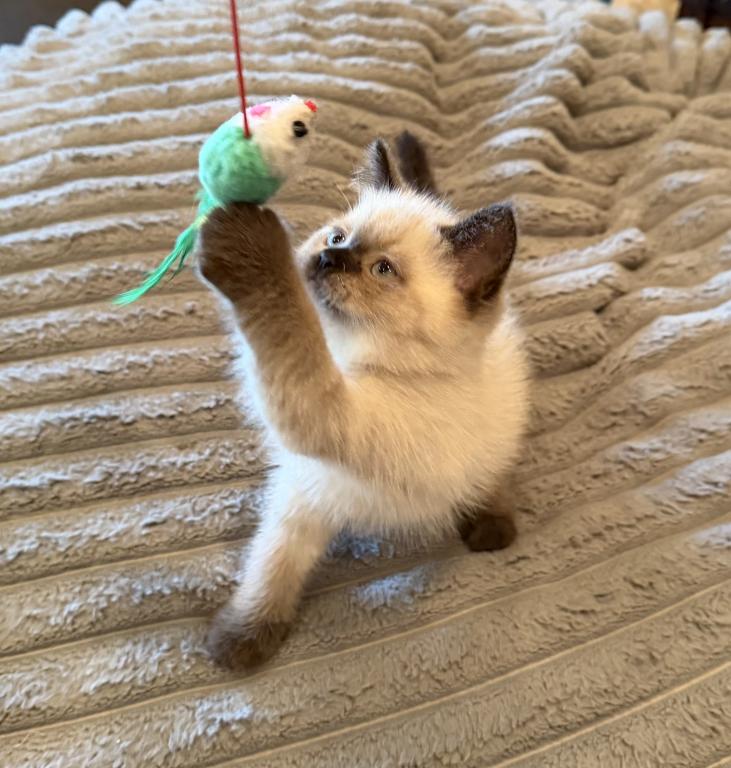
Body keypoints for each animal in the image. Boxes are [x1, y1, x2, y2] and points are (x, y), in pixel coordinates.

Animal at [196, 132, 530, 668]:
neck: (353, 357)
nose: (328, 260)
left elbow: (288, 324)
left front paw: (247, 235)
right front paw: (242, 639)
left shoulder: (325, 412)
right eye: (337, 239)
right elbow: (272, 565)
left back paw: (490, 524)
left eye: (382, 269)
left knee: (488, 475)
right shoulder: (304, 494)